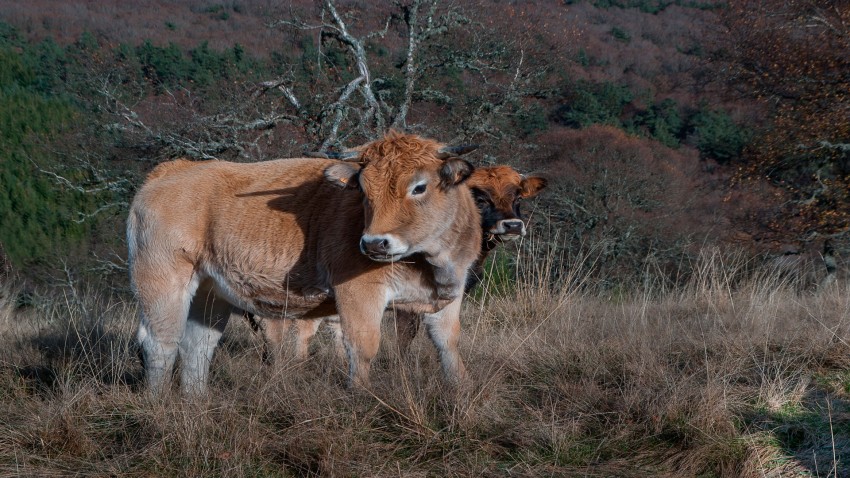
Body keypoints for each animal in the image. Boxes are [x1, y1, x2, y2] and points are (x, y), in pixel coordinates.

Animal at [127, 131, 482, 395]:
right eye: (363, 191)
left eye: (419, 187)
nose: (373, 243)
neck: (430, 263)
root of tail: (175, 169)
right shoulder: (358, 293)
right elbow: (363, 347)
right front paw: (361, 398)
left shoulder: (447, 295)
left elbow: (449, 345)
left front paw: (461, 389)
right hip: (162, 280)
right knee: (161, 343)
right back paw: (161, 406)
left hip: (210, 292)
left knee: (197, 346)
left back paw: (197, 404)